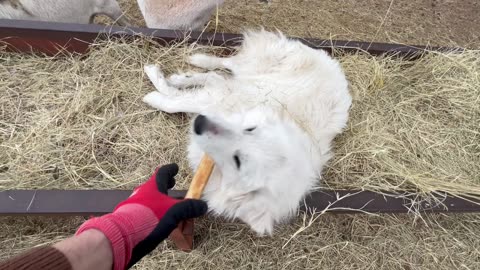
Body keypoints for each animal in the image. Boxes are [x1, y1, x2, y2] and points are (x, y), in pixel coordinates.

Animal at [142, 29, 352, 235]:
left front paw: (157, 94)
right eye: (250, 129)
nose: (201, 122)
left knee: (216, 76)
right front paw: (155, 92)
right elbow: (175, 102)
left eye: (238, 162)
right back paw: (192, 62)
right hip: (253, 67)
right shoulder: (222, 98)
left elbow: (179, 100)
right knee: (224, 65)